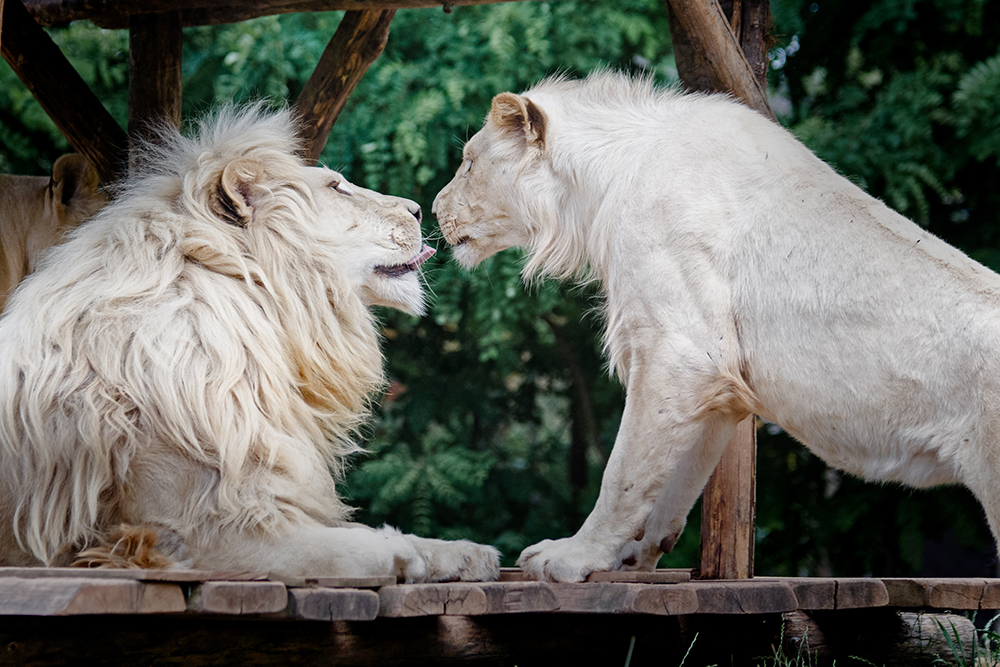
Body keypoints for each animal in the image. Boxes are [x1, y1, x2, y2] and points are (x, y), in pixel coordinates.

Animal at [0, 105, 500, 584]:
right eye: (337, 188)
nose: (419, 210)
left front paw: (466, 552)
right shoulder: (198, 533)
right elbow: (348, 548)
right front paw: (401, 553)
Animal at [434, 70, 1000, 584]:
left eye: (468, 162)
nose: (434, 209)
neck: (600, 186)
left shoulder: (679, 353)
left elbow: (624, 473)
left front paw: (571, 558)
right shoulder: (719, 386)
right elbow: (673, 481)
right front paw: (632, 555)